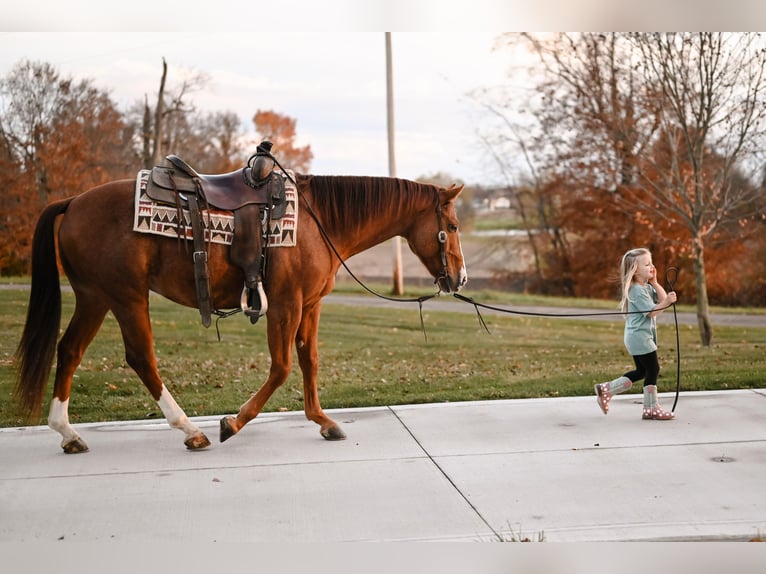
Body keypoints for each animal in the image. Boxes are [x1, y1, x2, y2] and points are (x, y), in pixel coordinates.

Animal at [13, 170, 468, 454]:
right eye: (454, 226)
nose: (461, 278)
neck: (319, 221)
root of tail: (73, 202)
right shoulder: (285, 304)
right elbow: (282, 367)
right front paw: (232, 423)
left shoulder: (310, 305)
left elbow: (309, 360)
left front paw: (322, 419)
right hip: (126, 296)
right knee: (141, 358)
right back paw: (190, 430)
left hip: (95, 296)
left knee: (70, 350)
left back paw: (67, 433)